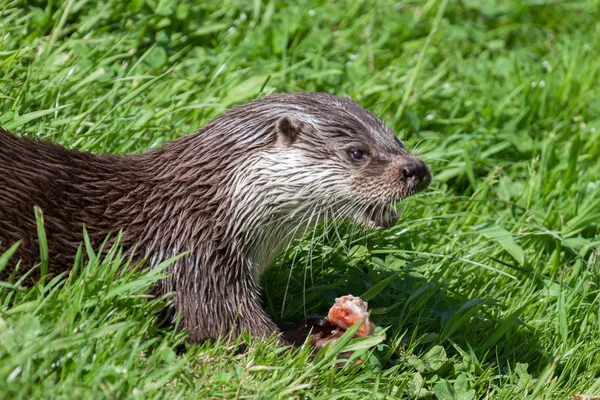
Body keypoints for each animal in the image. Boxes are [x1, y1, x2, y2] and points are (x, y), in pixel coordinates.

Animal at [0, 92, 432, 342]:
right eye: (357, 153)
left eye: (397, 139)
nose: (417, 169)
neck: (207, 209)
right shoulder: (194, 264)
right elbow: (240, 335)